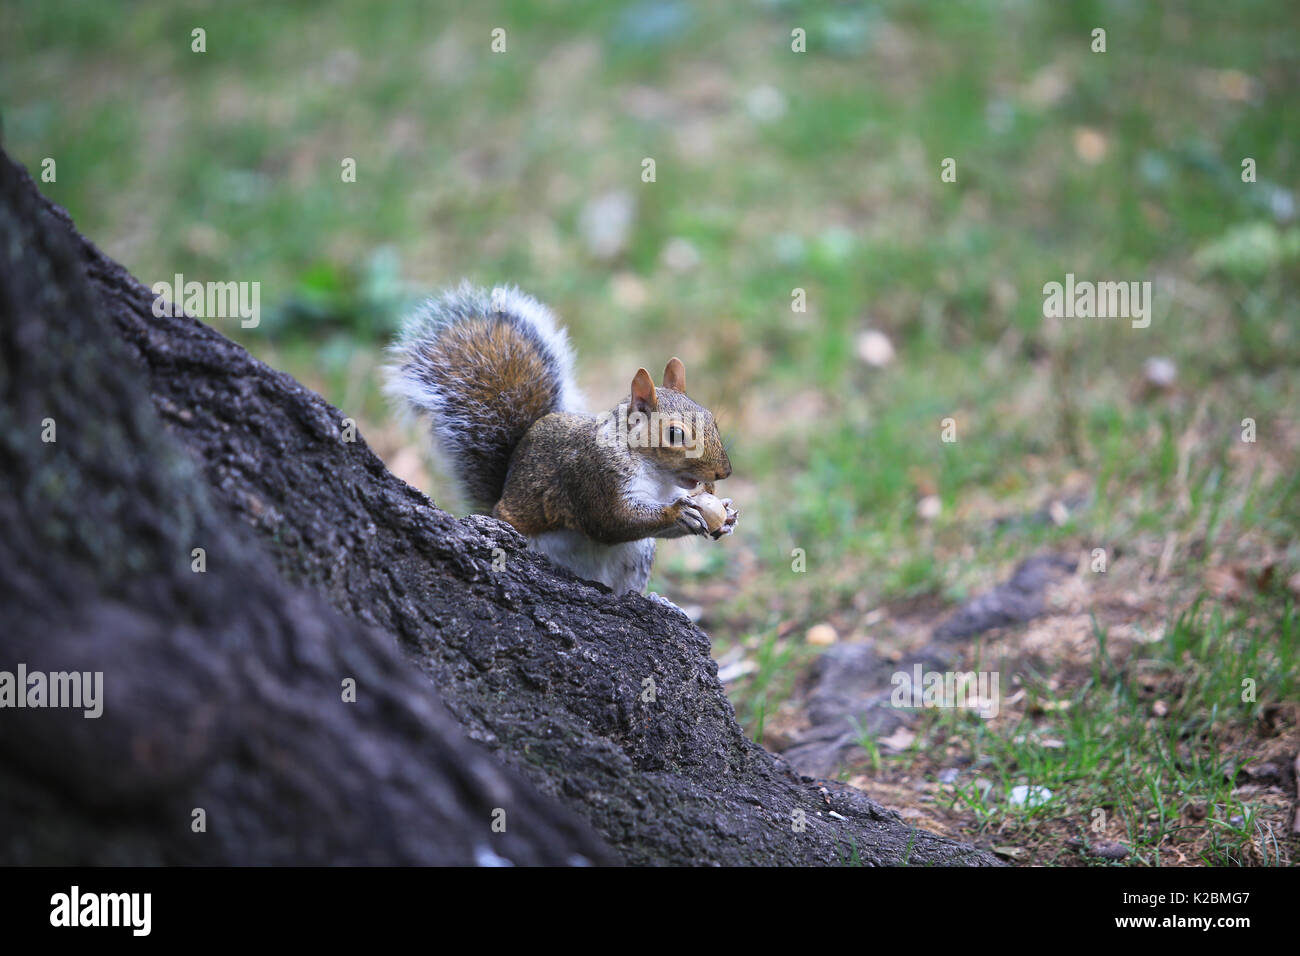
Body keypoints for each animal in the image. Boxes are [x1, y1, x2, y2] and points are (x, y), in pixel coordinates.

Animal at [384, 283, 737, 596]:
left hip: (636, 557)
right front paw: (678, 513)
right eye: (675, 434)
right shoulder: (594, 477)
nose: (724, 473)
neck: (657, 476)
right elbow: (613, 521)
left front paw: (727, 515)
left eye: (711, 418)